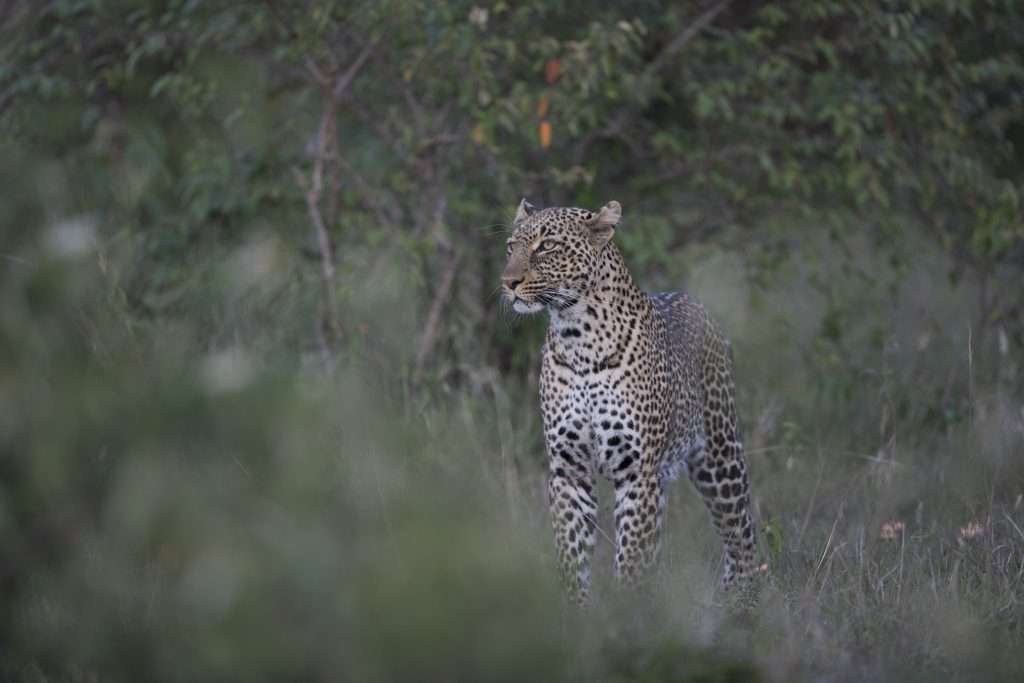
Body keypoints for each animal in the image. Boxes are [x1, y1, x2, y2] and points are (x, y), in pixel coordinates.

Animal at [501, 198, 758, 604]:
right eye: (512, 247)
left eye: (547, 247)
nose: (507, 283)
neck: (577, 337)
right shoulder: (568, 471)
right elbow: (572, 558)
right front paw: (574, 611)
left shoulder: (639, 474)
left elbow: (632, 562)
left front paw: (624, 613)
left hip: (720, 457)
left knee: (741, 535)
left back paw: (741, 604)